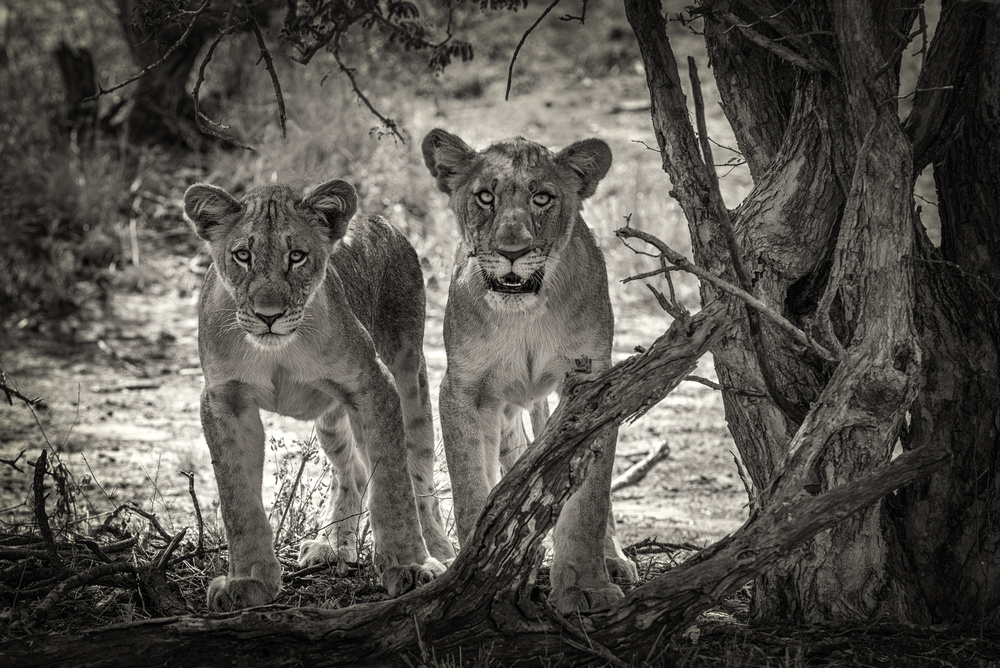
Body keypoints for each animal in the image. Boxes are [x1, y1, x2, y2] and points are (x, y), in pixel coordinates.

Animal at [183, 179, 454, 611]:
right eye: (243, 255)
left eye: (297, 256)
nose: (269, 315)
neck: (277, 351)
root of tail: (377, 219)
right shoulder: (225, 401)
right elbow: (237, 500)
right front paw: (248, 582)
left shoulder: (372, 384)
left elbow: (393, 483)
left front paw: (409, 566)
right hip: (332, 417)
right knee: (352, 473)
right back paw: (332, 545)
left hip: (409, 369)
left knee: (420, 475)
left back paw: (440, 551)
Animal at [421, 129, 639, 613]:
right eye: (485, 197)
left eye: (542, 198)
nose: (512, 251)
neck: (524, 315)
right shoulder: (463, 389)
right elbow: (470, 486)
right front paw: (474, 571)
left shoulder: (592, 384)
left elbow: (590, 503)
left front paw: (585, 587)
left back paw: (613, 558)